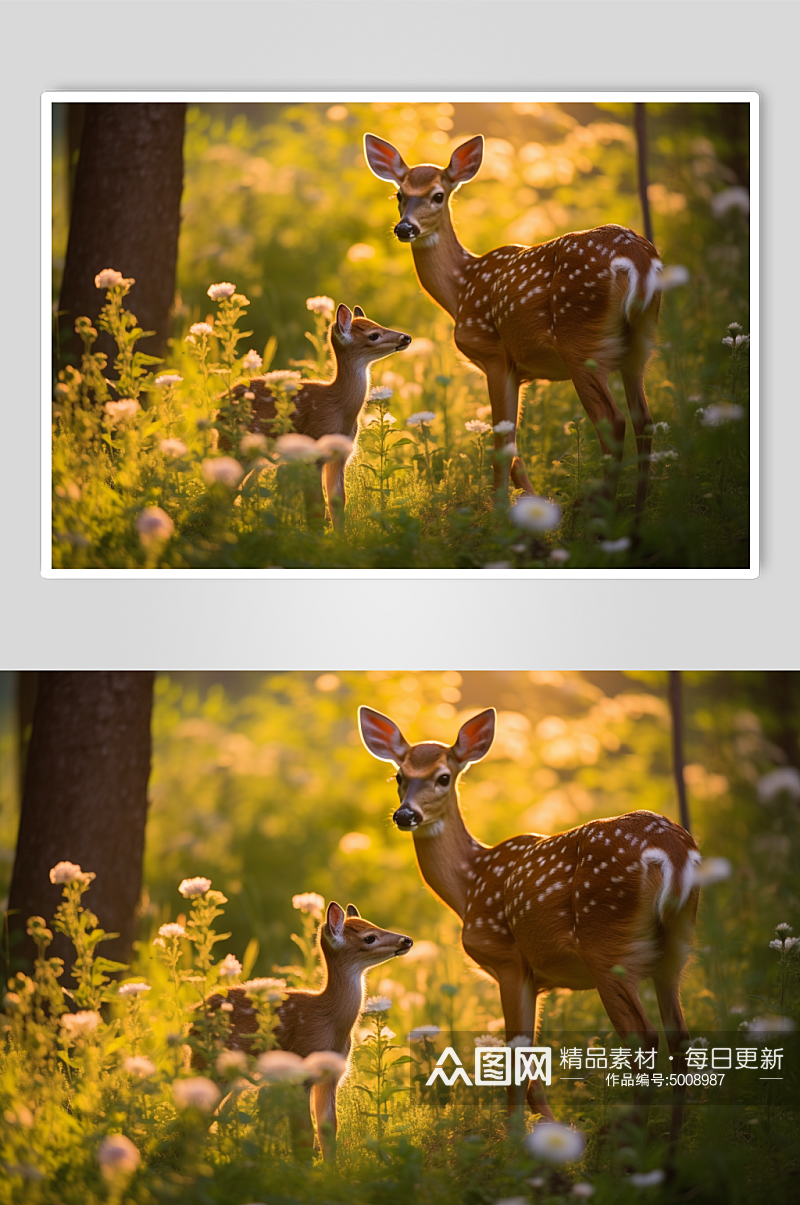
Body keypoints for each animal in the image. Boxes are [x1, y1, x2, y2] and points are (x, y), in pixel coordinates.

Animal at [204, 906, 412, 1156]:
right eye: (369, 937)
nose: (407, 939)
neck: (328, 1022)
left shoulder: (331, 1076)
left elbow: (327, 1130)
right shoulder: (298, 1074)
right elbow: (303, 1137)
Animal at [232, 303, 409, 525]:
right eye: (374, 335)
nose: (406, 337)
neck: (337, 408)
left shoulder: (340, 456)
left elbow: (337, 503)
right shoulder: (312, 453)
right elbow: (316, 508)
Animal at [359, 703, 698, 1127]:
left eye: (443, 777)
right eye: (399, 776)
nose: (406, 815)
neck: (470, 884)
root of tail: (670, 850)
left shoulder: (508, 960)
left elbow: (515, 1058)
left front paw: (516, 1136)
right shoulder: (539, 980)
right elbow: (532, 1062)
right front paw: (551, 1128)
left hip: (606, 945)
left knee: (644, 1036)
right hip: (675, 948)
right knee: (680, 1036)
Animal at [361, 134, 660, 510]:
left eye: (438, 195)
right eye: (399, 194)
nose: (405, 228)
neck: (461, 288)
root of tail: (636, 260)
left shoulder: (494, 355)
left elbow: (502, 445)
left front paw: (500, 511)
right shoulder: (522, 371)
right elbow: (516, 449)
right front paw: (534, 504)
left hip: (580, 342)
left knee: (613, 420)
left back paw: (601, 514)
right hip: (640, 344)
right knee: (644, 420)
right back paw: (638, 513)